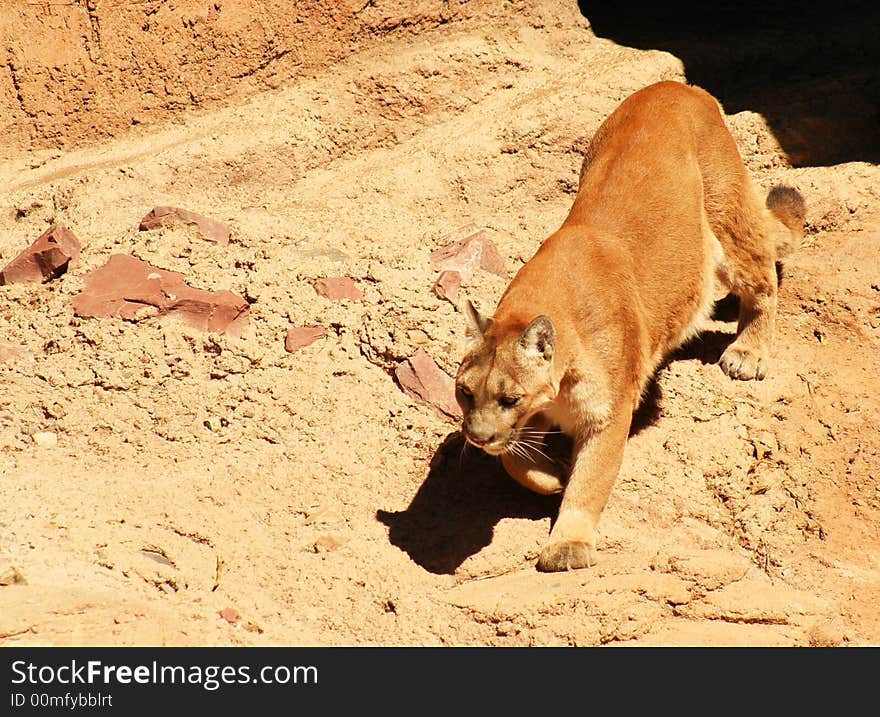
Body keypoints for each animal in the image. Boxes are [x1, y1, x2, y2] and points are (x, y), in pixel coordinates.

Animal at [454, 79, 804, 572]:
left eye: (509, 398)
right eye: (464, 392)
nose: (478, 436)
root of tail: (673, 84)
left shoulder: (608, 412)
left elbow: (592, 479)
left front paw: (568, 543)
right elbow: (514, 462)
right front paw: (552, 474)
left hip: (727, 214)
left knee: (762, 276)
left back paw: (748, 352)